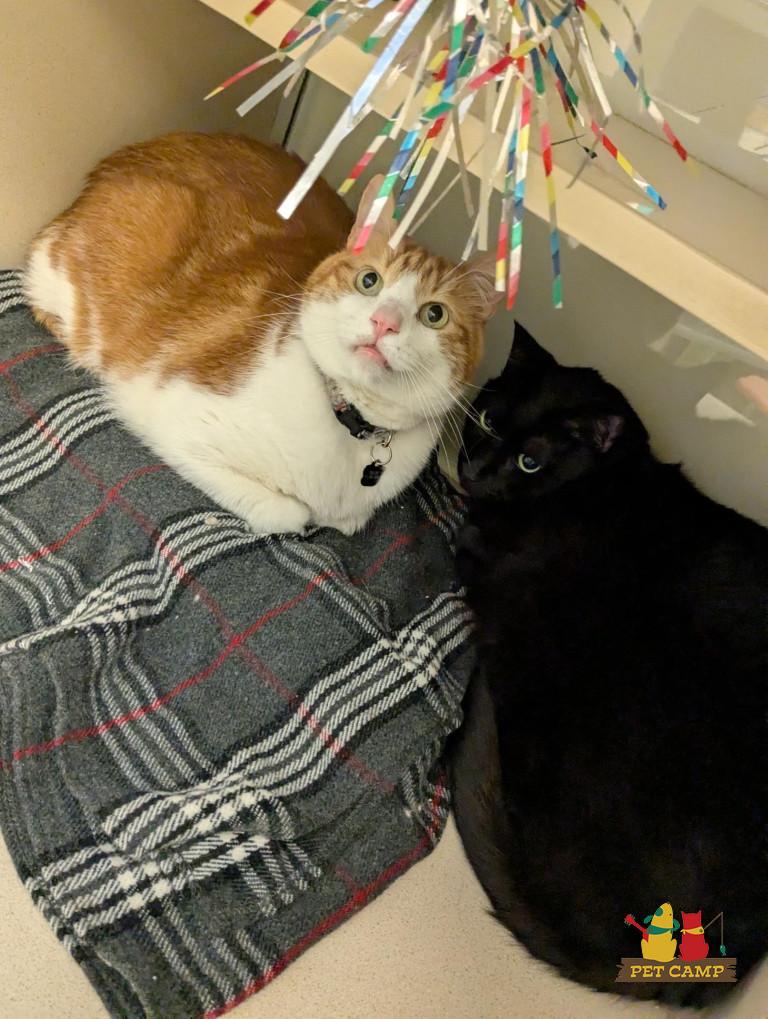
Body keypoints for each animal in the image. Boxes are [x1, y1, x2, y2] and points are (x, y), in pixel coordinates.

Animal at [24, 132, 497, 535]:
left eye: (435, 314)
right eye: (370, 281)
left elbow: (341, 522)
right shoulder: (170, 418)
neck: (351, 423)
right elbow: (290, 513)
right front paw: (299, 514)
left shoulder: (353, 516)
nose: (385, 322)